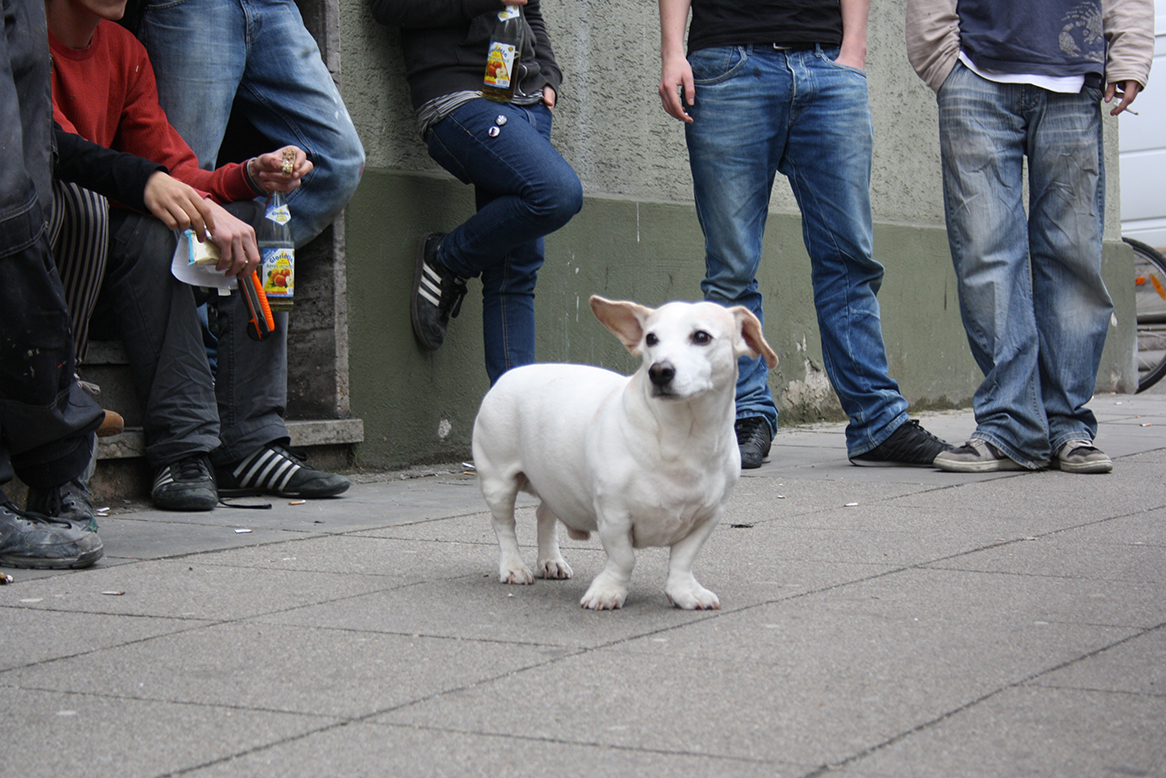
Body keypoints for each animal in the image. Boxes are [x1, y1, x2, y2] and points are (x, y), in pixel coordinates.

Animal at [471, 295, 778, 610]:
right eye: (651, 338)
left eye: (701, 337)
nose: (659, 371)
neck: (682, 436)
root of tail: (511, 373)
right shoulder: (614, 515)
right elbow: (623, 559)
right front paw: (608, 592)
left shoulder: (708, 517)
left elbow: (683, 559)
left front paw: (684, 592)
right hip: (498, 481)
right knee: (504, 524)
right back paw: (513, 567)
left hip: (555, 483)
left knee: (545, 515)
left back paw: (551, 561)